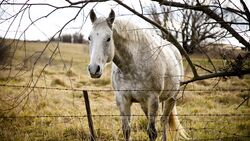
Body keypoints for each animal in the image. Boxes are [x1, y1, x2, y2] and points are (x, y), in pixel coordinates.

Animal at [88, 9, 188, 140]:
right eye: (89, 38)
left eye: (108, 38)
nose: (94, 69)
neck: (131, 67)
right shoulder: (122, 100)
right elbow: (126, 130)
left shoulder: (153, 99)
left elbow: (152, 132)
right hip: (145, 104)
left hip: (172, 98)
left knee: (163, 121)